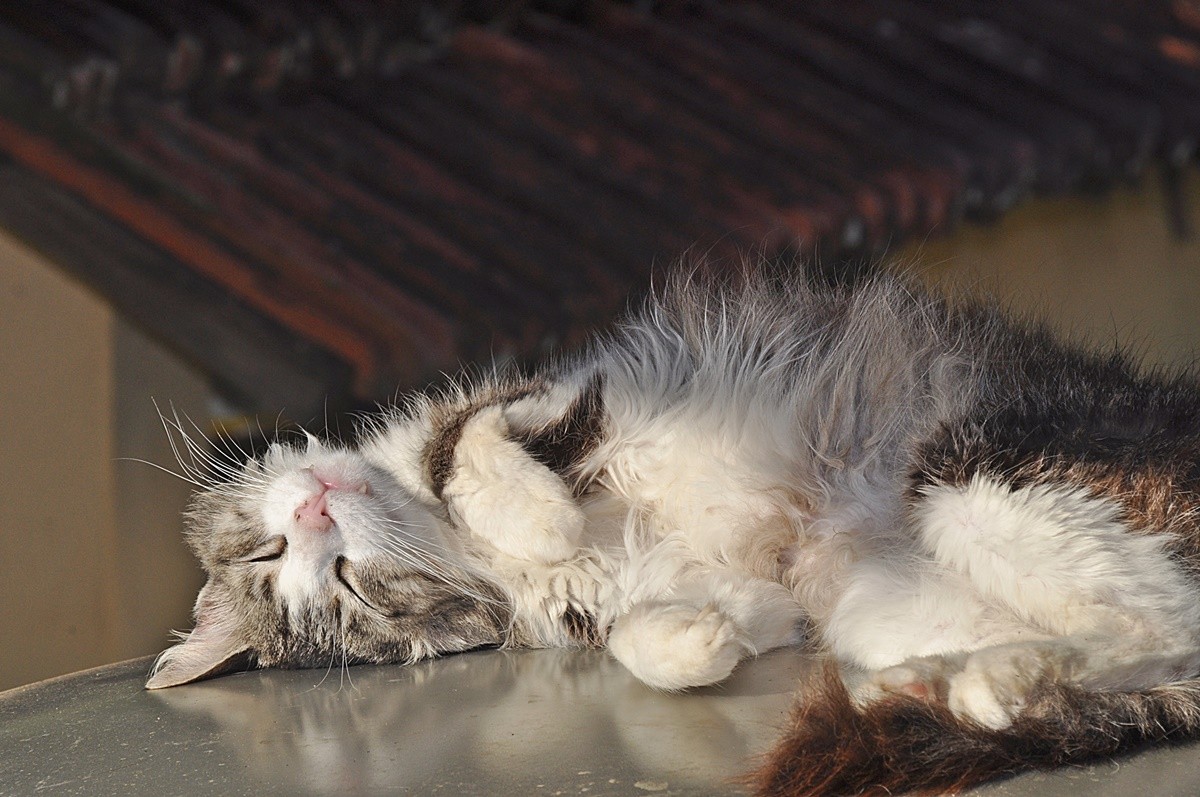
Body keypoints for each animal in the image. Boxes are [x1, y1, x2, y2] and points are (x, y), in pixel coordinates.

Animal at [150, 268, 1200, 797]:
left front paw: (535, 514)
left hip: (971, 476)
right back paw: (966, 687)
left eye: (331, 575)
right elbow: (636, 638)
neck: (466, 559)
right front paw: (701, 641)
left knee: (1168, 626)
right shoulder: (717, 596)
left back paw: (986, 686)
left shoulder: (558, 393)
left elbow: (467, 450)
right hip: (879, 598)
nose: (313, 510)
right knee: (1153, 648)